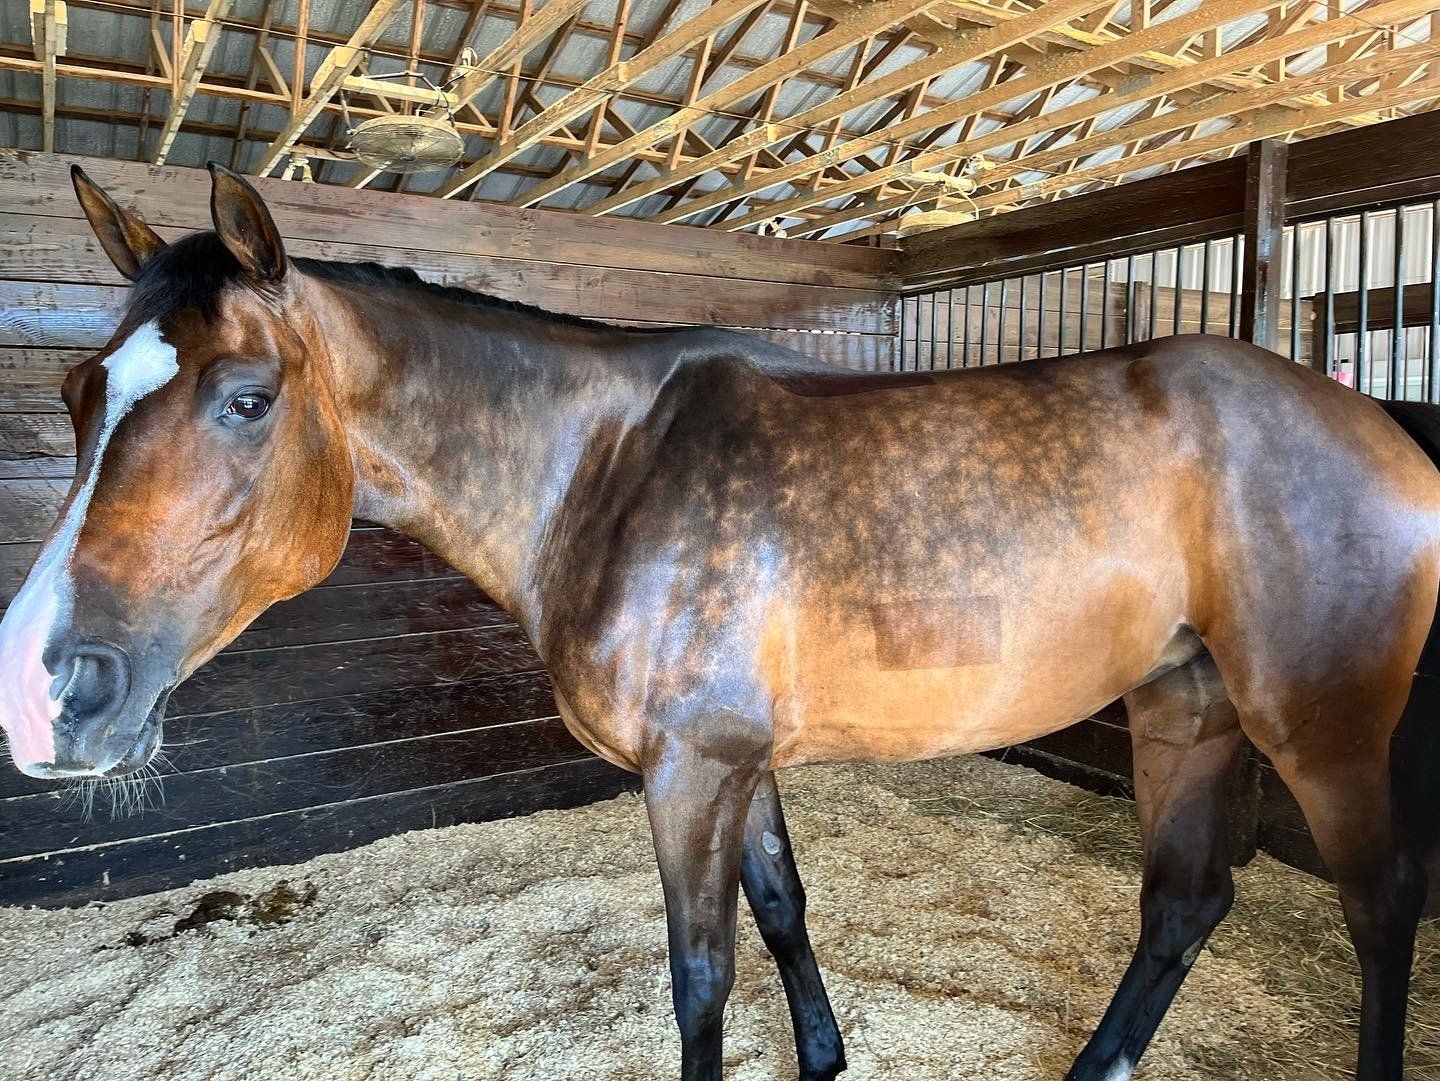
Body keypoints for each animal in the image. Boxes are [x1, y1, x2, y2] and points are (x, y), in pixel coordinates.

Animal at [0, 164, 1437, 1081]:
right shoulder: (738, 763)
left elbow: (701, 979)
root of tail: (1387, 431)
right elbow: (786, 908)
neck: (605, 467)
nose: (40, 687)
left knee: (1378, 910)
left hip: (1320, 735)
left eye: (246, 398)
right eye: (77, 390)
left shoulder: (690, 771)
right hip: (1187, 709)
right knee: (1185, 904)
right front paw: (826, 1058)